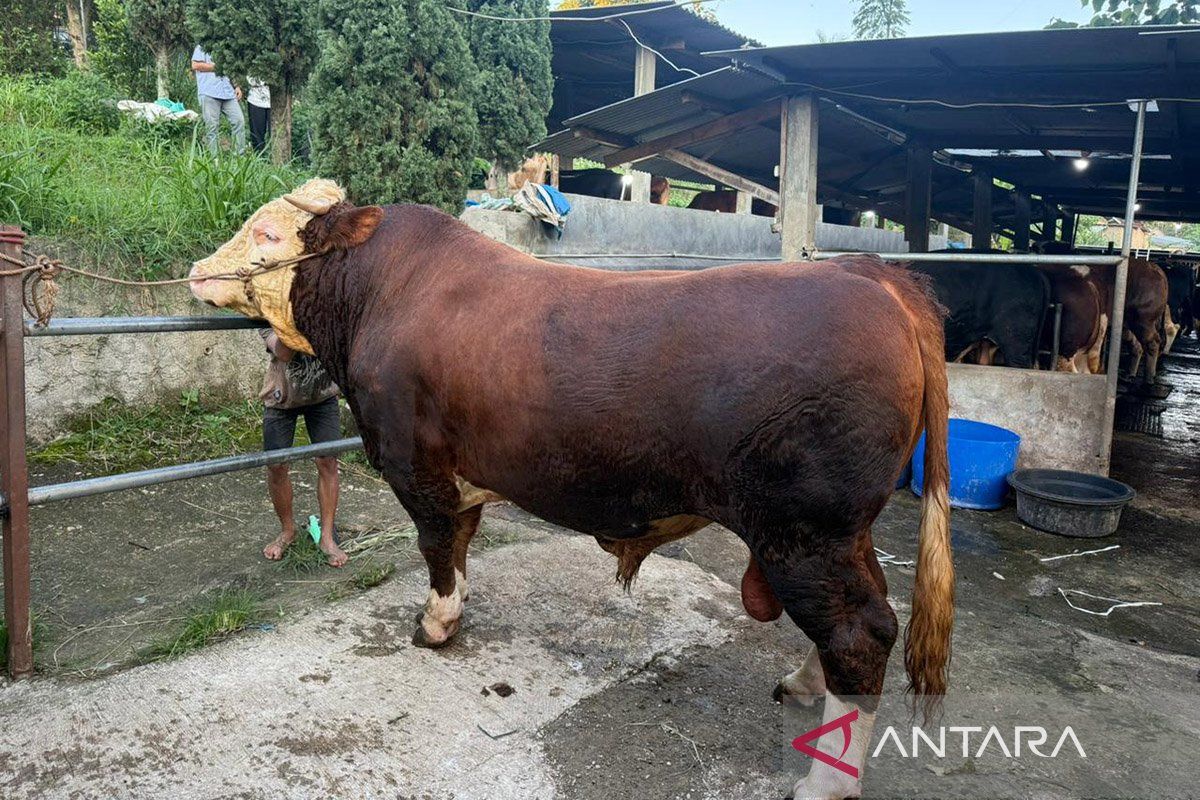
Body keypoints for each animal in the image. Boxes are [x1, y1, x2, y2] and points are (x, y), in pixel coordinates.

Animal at [189, 179, 954, 799]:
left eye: (267, 231)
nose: (196, 271)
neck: (379, 292)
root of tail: (870, 276)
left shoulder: (414, 463)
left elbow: (437, 545)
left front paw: (436, 624)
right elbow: (460, 541)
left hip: (805, 529)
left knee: (861, 632)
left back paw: (826, 781)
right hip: (835, 534)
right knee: (860, 618)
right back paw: (802, 684)